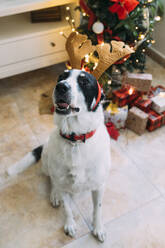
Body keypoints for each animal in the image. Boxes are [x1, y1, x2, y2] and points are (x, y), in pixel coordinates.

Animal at [7, 69, 111, 242]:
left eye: (84, 81)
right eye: (61, 77)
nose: (61, 87)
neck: (75, 140)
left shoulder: (99, 185)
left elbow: (98, 209)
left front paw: (98, 228)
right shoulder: (62, 183)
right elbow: (67, 208)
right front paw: (70, 225)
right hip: (47, 163)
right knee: (52, 180)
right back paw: (55, 194)